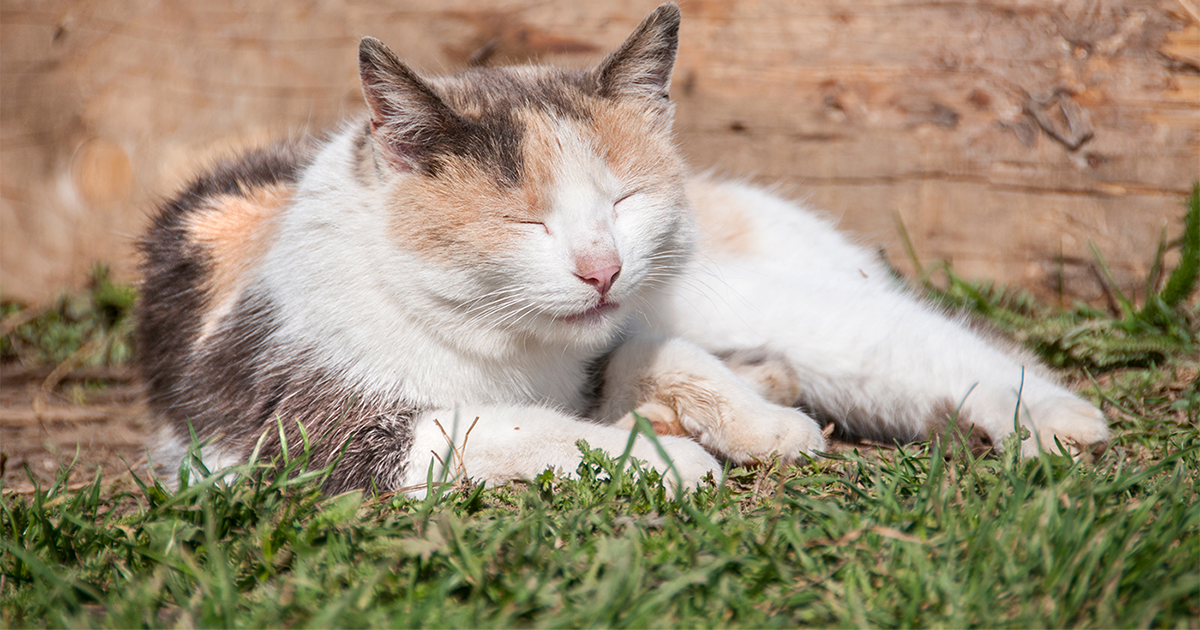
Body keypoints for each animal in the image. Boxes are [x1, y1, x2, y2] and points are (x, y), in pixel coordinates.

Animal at [138, 2, 1104, 494]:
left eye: (624, 201)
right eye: (524, 222)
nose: (602, 269)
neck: (506, 346)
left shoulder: (617, 336)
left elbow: (652, 351)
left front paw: (763, 425)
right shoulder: (308, 433)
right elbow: (509, 428)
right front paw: (674, 455)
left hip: (738, 284)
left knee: (889, 333)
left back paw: (1052, 417)